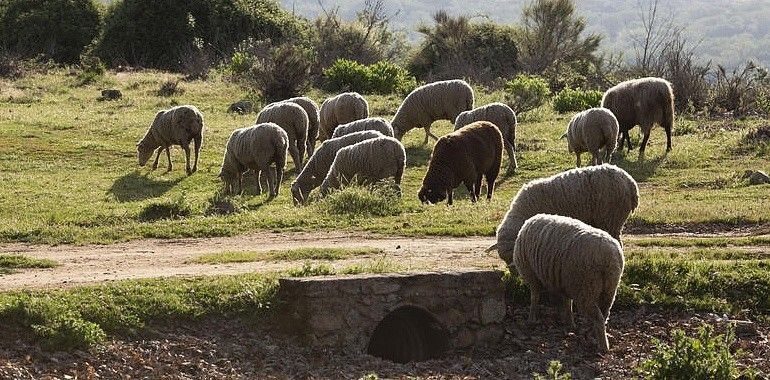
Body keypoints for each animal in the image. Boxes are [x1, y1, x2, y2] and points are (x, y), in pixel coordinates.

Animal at [510, 214, 624, 354]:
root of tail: (607, 256)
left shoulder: (533, 277)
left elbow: (534, 298)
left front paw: (531, 319)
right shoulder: (564, 283)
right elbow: (567, 302)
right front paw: (570, 323)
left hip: (586, 288)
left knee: (598, 317)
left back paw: (603, 346)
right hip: (609, 289)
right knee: (604, 314)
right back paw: (593, 335)